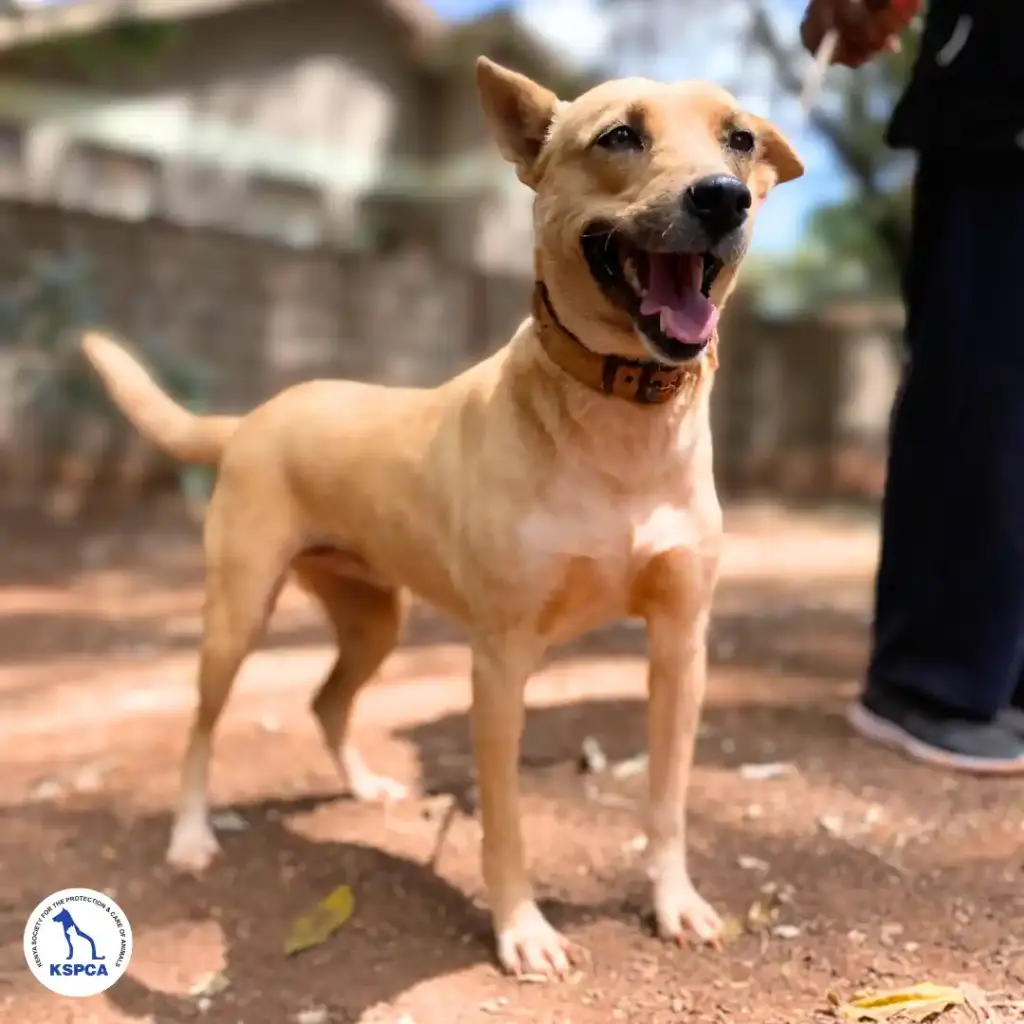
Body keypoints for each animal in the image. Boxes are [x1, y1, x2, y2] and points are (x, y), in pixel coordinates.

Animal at [80, 58, 802, 978]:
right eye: (620, 136)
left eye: (739, 139)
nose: (722, 198)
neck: (619, 424)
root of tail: (251, 418)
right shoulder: (499, 662)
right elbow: (506, 822)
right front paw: (522, 930)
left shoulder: (681, 646)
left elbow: (667, 800)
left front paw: (674, 902)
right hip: (237, 618)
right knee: (200, 729)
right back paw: (189, 836)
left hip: (373, 621)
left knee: (326, 702)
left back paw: (362, 787)